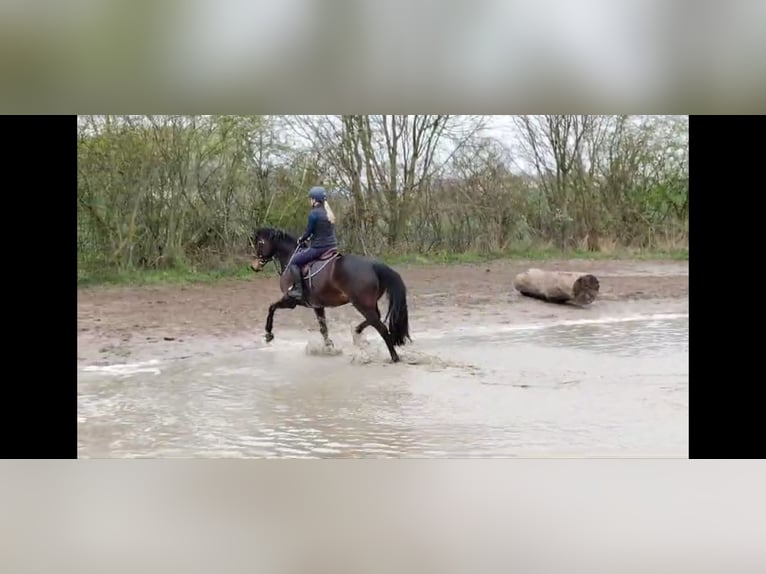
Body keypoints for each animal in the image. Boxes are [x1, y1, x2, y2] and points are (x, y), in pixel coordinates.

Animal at [249, 227, 412, 362]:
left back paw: (394, 357)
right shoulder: (317, 306)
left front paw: (268, 334)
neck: (290, 258)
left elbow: (271, 308)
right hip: (369, 304)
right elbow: (323, 328)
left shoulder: (291, 301)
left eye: (260, 243)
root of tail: (374, 265)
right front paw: (328, 348)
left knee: (381, 327)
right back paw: (357, 332)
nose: (254, 266)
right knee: (374, 319)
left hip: (362, 304)